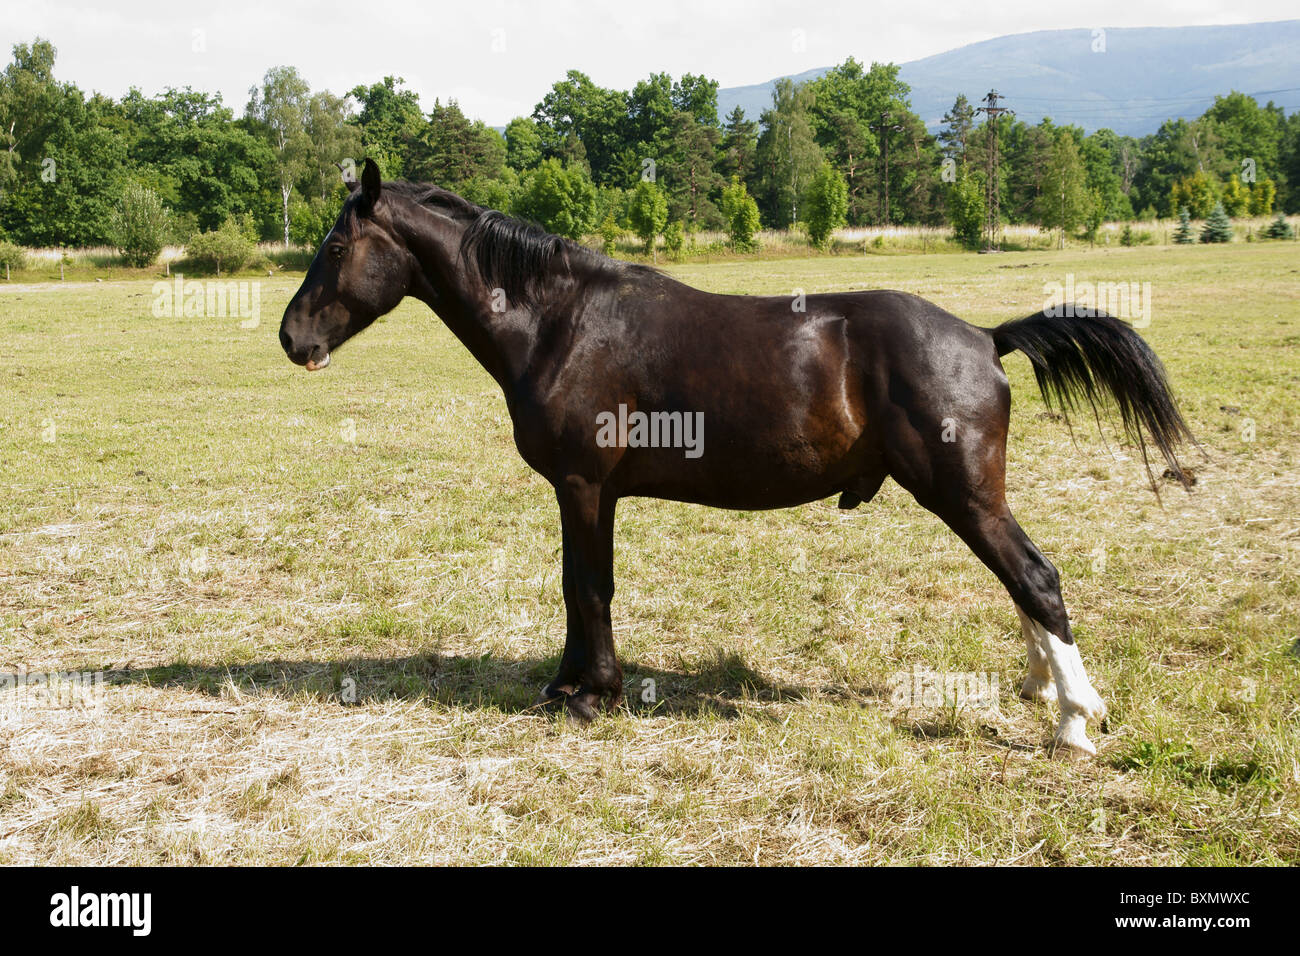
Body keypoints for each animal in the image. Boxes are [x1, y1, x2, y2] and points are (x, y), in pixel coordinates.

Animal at [279, 159, 1196, 757]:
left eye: (335, 247)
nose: (292, 338)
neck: (561, 322)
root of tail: (982, 336)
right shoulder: (589, 494)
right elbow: (578, 587)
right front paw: (568, 684)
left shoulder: (584, 486)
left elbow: (587, 586)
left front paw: (592, 695)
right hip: (971, 497)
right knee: (1022, 583)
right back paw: (1043, 688)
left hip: (963, 495)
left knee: (1036, 578)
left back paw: (1073, 722)